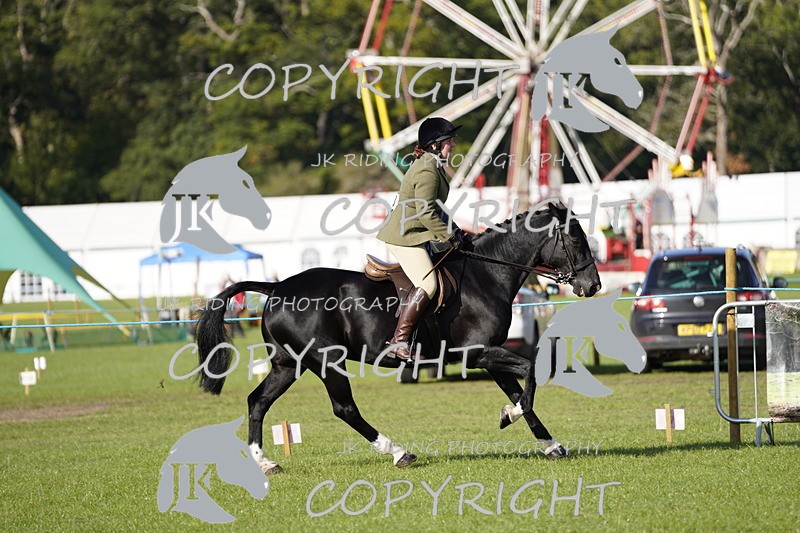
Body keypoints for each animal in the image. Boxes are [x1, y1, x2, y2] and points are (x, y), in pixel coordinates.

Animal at [195, 202, 601, 473]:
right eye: (576, 240)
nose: (593, 285)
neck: (486, 276)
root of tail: (277, 286)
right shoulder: (478, 353)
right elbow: (530, 373)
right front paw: (509, 416)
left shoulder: (489, 355)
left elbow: (522, 392)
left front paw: (550, 444)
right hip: (326, 361)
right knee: (344, 408)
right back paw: (398, 452)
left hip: (288, 364)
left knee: (258, 402)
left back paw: (265, 464)